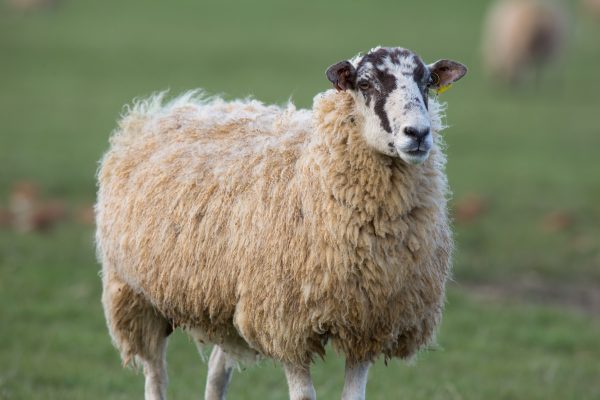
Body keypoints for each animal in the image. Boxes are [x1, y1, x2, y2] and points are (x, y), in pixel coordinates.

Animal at [95, 45, 468, 398]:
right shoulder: (285, 321)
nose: (417, 133)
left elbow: (354, 394)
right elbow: (303, 394)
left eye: (428, 83)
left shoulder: (368, 322)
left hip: (225, 302)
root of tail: (165, 108)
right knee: (155, 374)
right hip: (132, 294)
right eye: (364, 84)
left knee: (217, 372)